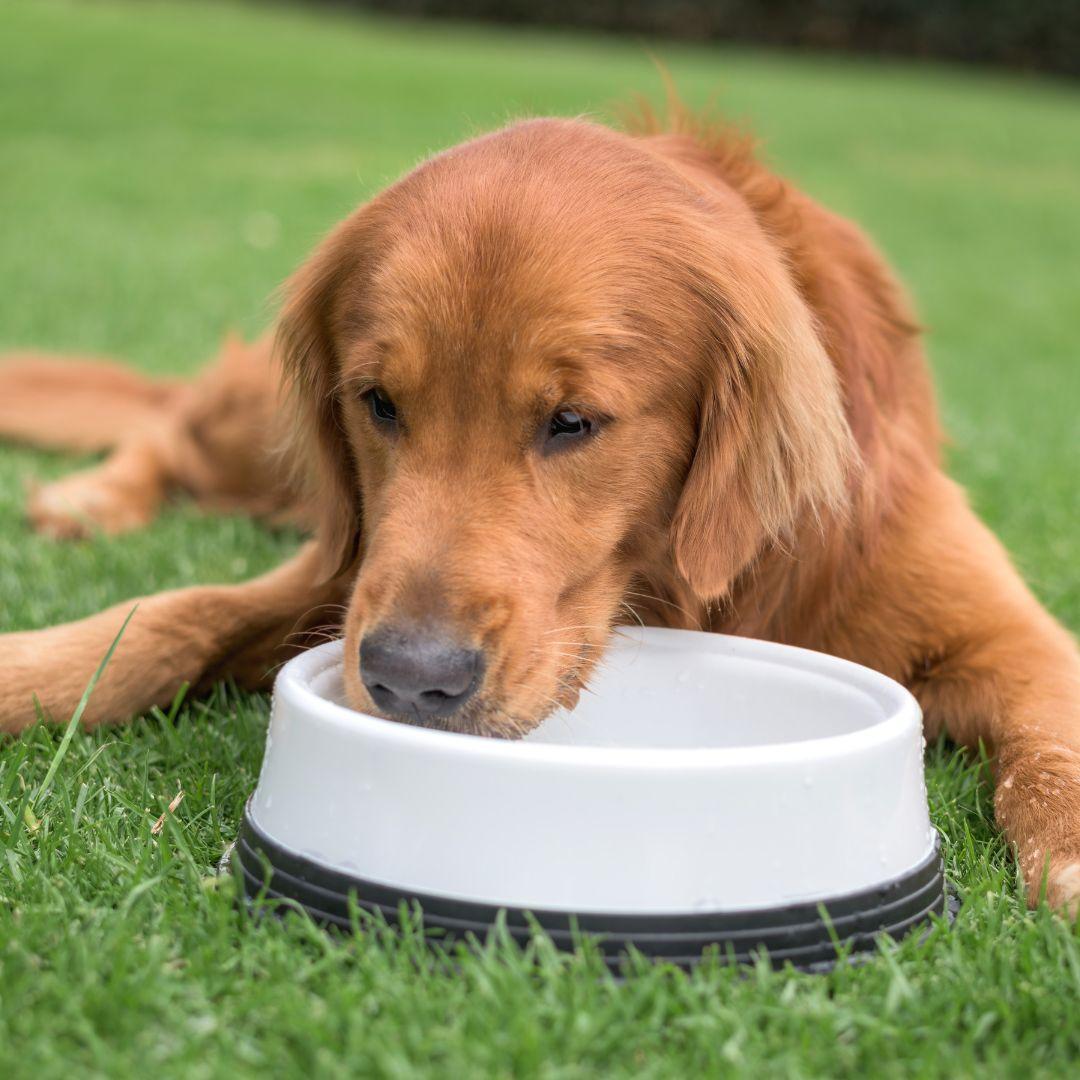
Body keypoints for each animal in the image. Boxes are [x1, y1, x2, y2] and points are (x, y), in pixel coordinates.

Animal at [2, 107, 1080, 911]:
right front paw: (29, 671)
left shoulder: (1001, 629)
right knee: (171, 420)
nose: (412, 680)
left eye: (572, 421)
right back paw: (92, 495)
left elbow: (1049, 735)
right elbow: (168, 619)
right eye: (378, 403)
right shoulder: (344, 572)